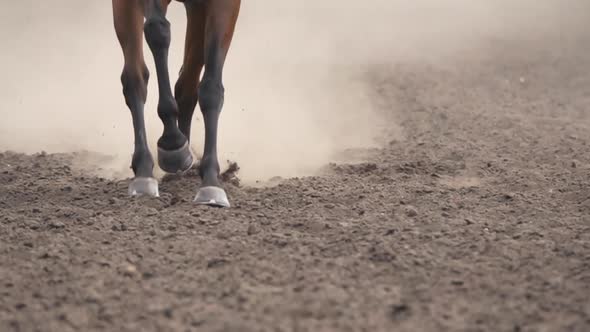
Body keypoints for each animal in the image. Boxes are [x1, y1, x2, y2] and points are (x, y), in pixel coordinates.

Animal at [111, 0, 240, 208]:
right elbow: (157, 31)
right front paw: (172, 143)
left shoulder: (224, 4)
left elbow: (211, 88)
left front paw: (211, 182)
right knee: (138, 78)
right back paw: (151, 167)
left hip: (197, 11)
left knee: (187, 85)